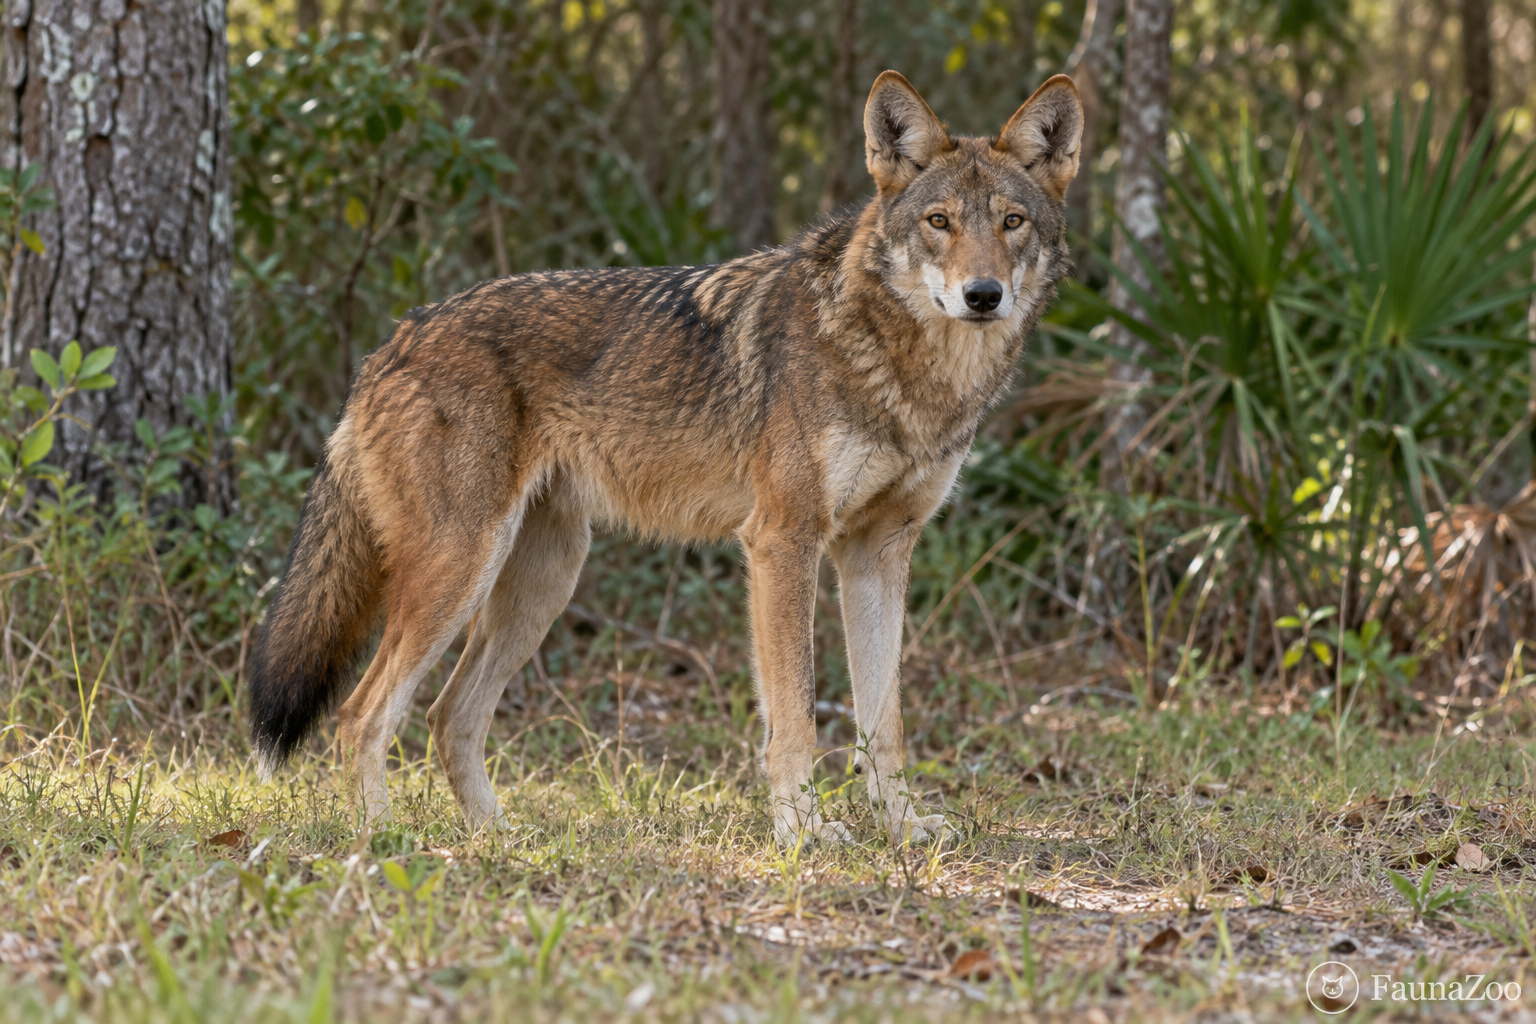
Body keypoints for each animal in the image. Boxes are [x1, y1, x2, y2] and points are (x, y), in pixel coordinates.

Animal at [247, 71, 1082, 846]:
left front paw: (903, 828)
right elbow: (796, 716)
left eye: (1011, 223)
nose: (983, 295)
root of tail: (391, 342)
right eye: (940, 223)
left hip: (541, 583)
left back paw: (499, 839)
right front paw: (803, 833)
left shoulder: (878, 553)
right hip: (461, 571)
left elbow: (885, 723)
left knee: (450, 715)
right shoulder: (784, 542)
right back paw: (384, 841)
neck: (906, 370)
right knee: (362, 714)